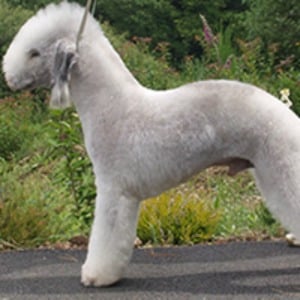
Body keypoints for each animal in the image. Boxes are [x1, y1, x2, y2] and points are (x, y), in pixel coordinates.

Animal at [2, 1, 300, 286]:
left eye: (34, 53)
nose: (9, 78)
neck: (110, 102)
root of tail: (288, 117)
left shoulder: (113, 189)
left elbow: (106, 238)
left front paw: (97, 276)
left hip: (280, 165)